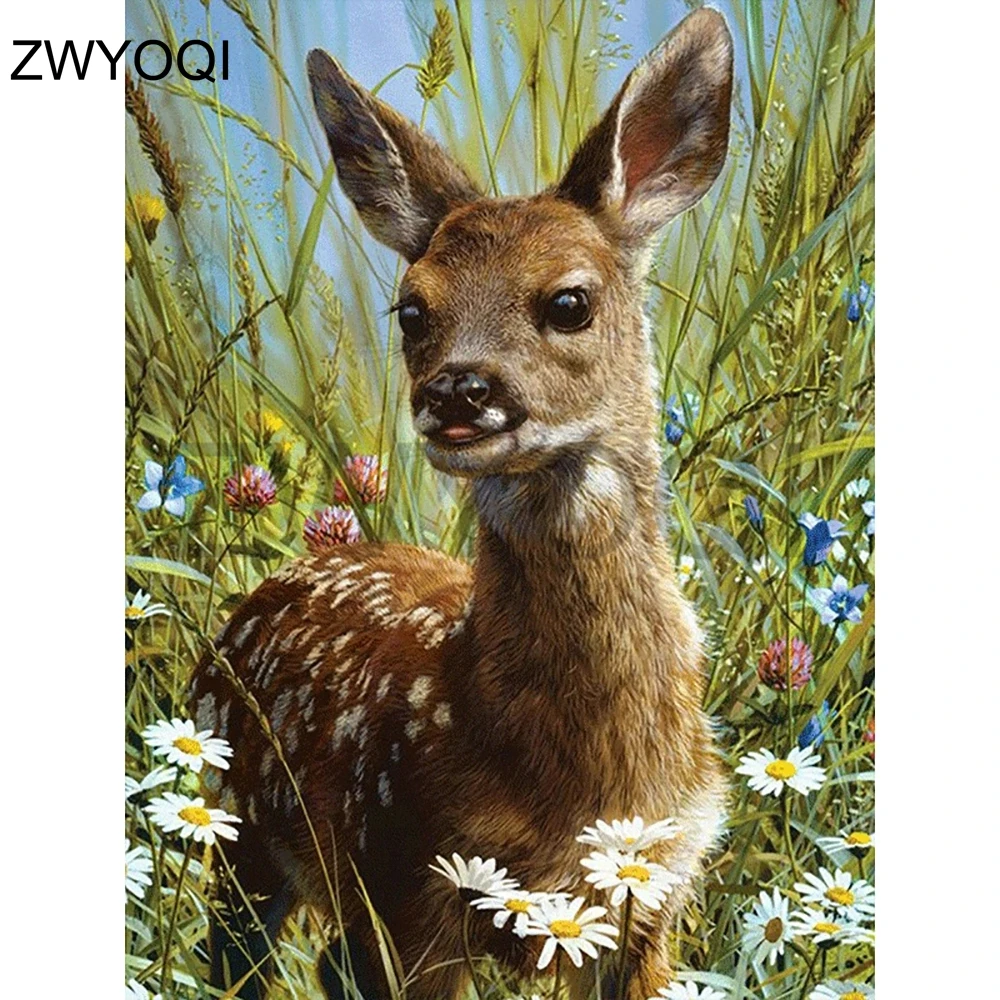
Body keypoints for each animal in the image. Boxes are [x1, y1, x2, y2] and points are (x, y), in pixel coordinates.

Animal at [189, 8, 733, 999]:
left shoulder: (655, 897)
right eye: (411, 310)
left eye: (570, 301)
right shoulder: (412, 876)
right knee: (242, 957)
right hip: (246, 824)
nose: (454, 390)